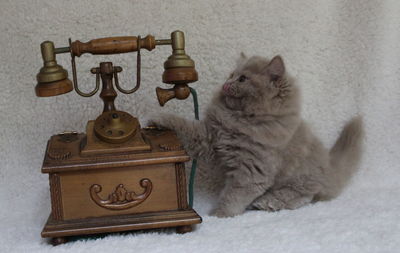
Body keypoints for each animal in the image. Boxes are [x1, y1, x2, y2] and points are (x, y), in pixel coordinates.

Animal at [152, 53, 364, 217]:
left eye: (242, 79)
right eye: (231, 75)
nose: (226, 85)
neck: (240, 121)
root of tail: (330, 165)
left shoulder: (252, 171)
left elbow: (234, 196)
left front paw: (220, 215)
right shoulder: (210, 137)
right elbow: (186, 127)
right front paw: (158, 119)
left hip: (300, 180)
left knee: (303, 196)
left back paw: (267, 202)